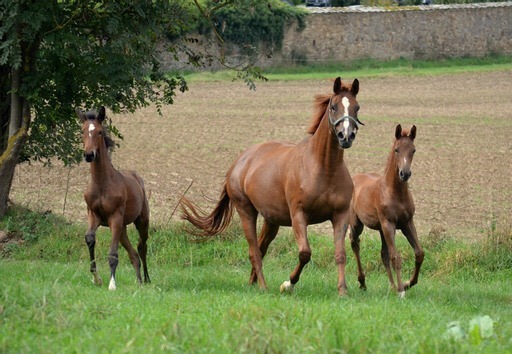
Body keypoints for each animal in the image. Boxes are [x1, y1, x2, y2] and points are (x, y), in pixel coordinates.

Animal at [76, 107, 150, 290]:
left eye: (100, 132)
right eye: (82, 131)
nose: (89, 155)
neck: (102, 184)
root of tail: (137, 178)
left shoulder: (115, 218)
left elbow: (112, 254)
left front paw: (112, 284)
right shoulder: (93, 215)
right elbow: (89, 238)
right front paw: (97, 279)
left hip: (140, 221)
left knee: (142, 246)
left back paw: (147, 279)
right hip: (122, 228)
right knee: (134, 254)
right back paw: (139, 282)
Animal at [182, 78, 362, 296]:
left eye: (356, 107)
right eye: (334, 106)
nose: (346, 136)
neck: (324, 168)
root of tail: (239, 162)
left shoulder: (340, 216)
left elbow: (340, 254)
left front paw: (343, 291)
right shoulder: (299, 215)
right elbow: (304, 253)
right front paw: (288, 284)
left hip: (271, 220)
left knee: (261, 248)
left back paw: (252, 282)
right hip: (246, 211)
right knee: (254, 251)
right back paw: (262, 286)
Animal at [348, 124, 424, 298]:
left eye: (413, 150)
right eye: (397, 149)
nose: (405, 173)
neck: (395, 192)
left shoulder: (407, 223)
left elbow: (419, 253)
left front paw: (407, 283)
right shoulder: (389, 224)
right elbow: (395, 256)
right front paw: (402, 290)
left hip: (382, 229)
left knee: (383, 254)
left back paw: (391, 286)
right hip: (357, 225)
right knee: (355, 244)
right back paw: (362, 282)